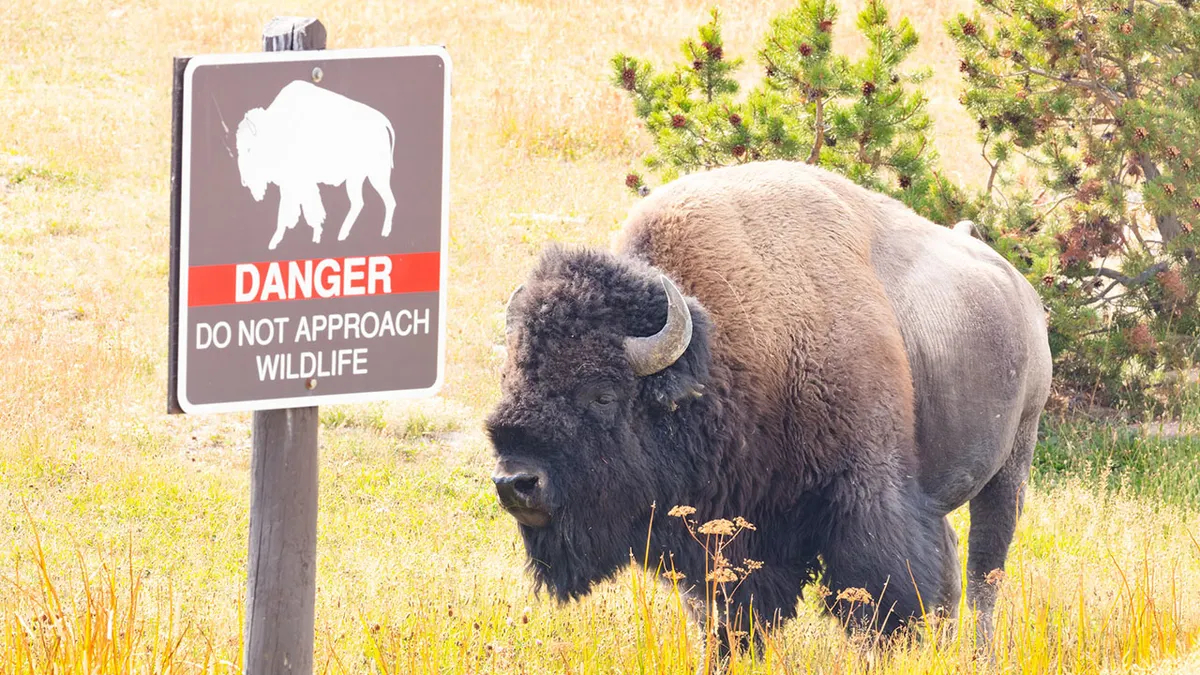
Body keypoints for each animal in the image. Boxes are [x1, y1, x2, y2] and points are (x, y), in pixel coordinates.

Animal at [486, 161, 1052, 651]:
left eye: (603, 394)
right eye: (511, 380)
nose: (516, 482)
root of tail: (1022, 293)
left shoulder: (865, 499)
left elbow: (878, 602)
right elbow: (725, 617)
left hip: (1012, 464)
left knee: (984, 572)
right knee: (953, 561)